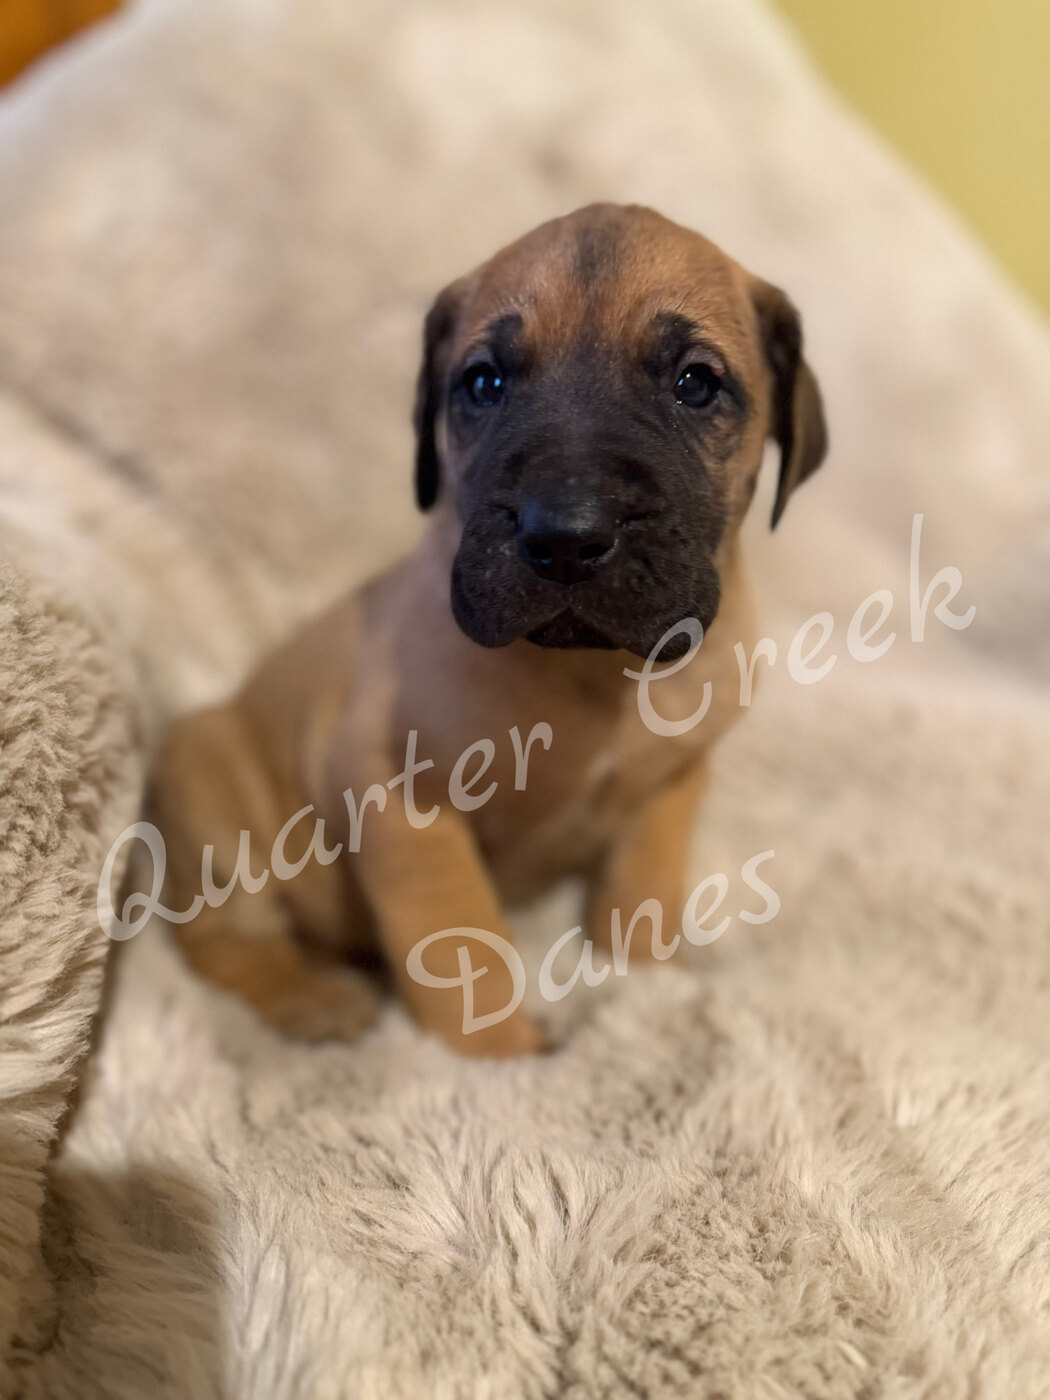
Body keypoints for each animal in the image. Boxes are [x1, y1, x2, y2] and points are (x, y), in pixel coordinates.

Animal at [149, 203, 827, 1057]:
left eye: (696, 383)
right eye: (484, 383)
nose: (565, 534)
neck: (596, 675)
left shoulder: (672, 784)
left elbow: (640, 894)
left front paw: (640, 994)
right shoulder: (402, 797)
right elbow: (462, 948)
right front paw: (502, 1060)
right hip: (210, 796)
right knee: (224, 940)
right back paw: (311, 1000)